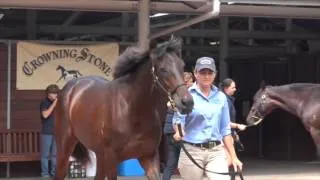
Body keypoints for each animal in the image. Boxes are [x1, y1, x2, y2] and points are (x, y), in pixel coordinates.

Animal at [53, 37, 194, 180]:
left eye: (182, 66)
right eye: (162, 69)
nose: (187, 103)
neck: (132, 110)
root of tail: (71, 88)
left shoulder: (149, 157)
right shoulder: (112, 159)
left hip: (99, 154)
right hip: (65, 148)